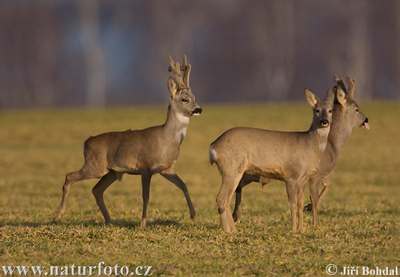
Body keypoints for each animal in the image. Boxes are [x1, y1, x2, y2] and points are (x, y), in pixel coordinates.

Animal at [54, 54, 203, 226]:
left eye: (194, 97)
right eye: (184, 99)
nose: (198, 109)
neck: (167, 140)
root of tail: (87, 142)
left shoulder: (166, 168)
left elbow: (183, 185)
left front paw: (193, 215)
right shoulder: (145, 167)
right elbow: (146, 196)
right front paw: (143, 223)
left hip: (112, 172)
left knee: (96, 189)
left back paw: (109, 220)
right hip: (95, 166)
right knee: (69, 176)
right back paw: (58, 215)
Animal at [209, 88, 334, 231]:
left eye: (330, 110)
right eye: (316, 110)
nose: (324, 121)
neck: (309, 144)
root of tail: (214, 145)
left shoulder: (302, 179)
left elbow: (300, 203)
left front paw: (301, 229)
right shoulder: (291, 176)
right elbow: (292, 204)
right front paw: (293, 229)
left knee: (226, 199)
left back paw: (232, 229)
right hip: (232, 168)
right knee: (221, 198)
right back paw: (231, 231)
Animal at [231, 76, 368, 227]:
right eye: (357, 108)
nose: (366, 119)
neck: (332, 145)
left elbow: (323, 189)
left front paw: (307, 212)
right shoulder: (315, 174)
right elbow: (315, 198)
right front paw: (314, 223)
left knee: (237, 187)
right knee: (236, 186)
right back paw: (235, 215)